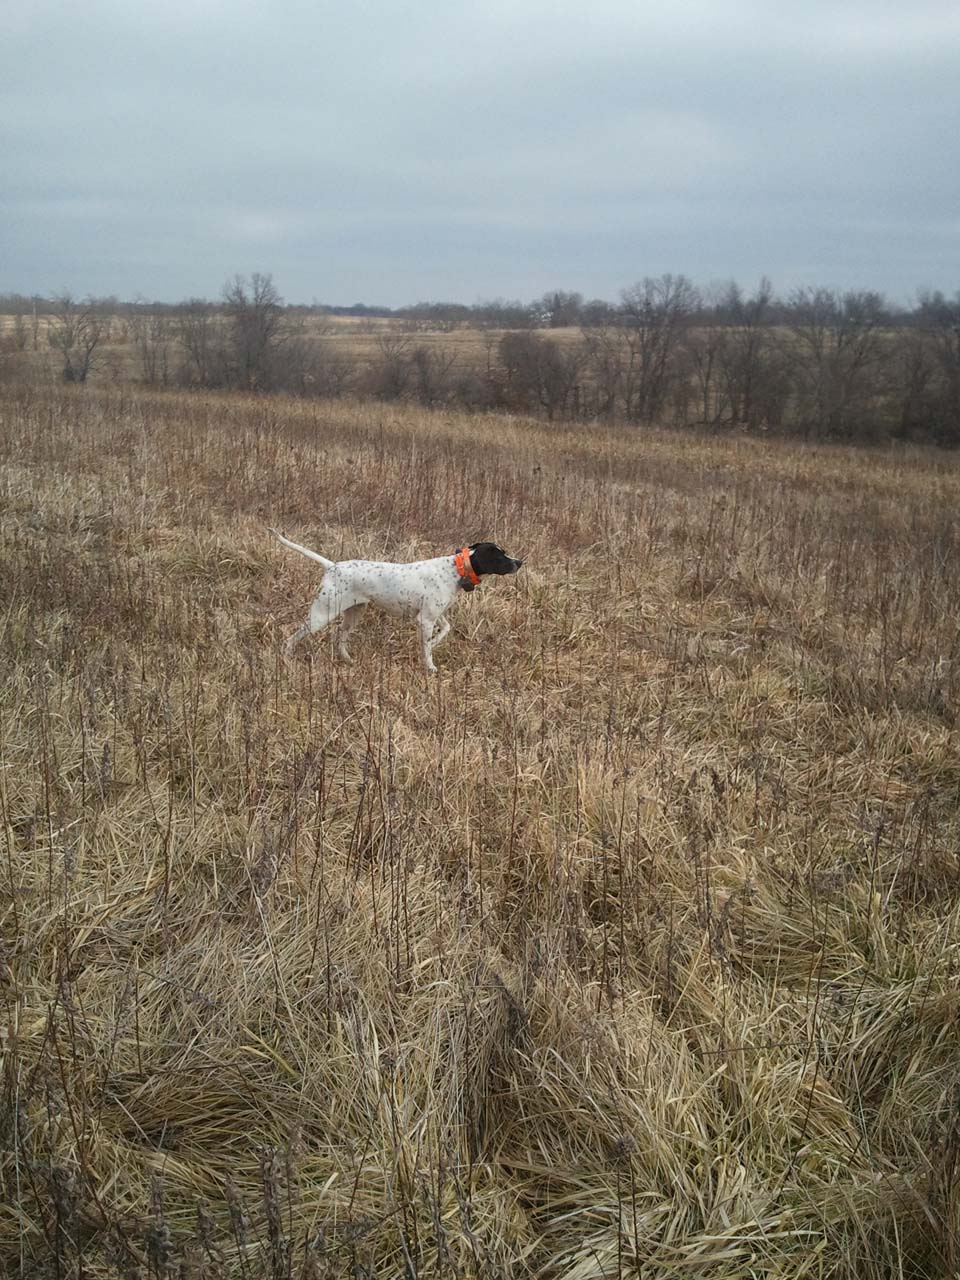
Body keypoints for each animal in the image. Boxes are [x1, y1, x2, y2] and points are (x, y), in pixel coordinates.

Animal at [271, 529, 527, 670]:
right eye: (500, 557)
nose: (520, 562)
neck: (456, 569)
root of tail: (333, 566)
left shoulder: (434, 616)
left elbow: (445, 630)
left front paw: (434, 643)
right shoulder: (425, 620)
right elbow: (427, 649)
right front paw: (430, 666)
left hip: (354, 613)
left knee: (339, 638)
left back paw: (348, 660)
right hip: (322, 614)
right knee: (291, 638)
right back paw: (286, 659)